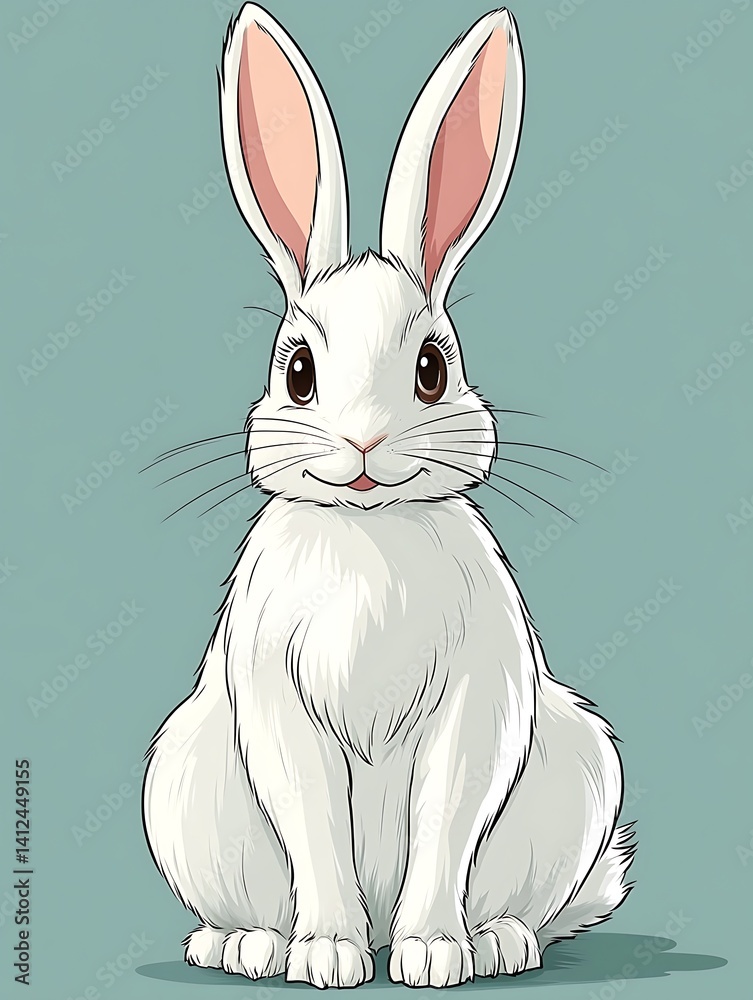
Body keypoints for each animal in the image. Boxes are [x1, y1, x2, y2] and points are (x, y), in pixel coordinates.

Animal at [142, 3, 636, 989]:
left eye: (431, 369)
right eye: (297, 372)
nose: (364, 446)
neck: (370, 530)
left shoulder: (479, 703)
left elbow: (445, 817)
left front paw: (431, 955)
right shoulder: (277, 702)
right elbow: (312, 819)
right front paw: (329, 955)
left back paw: (496, 943)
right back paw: (247, 946)